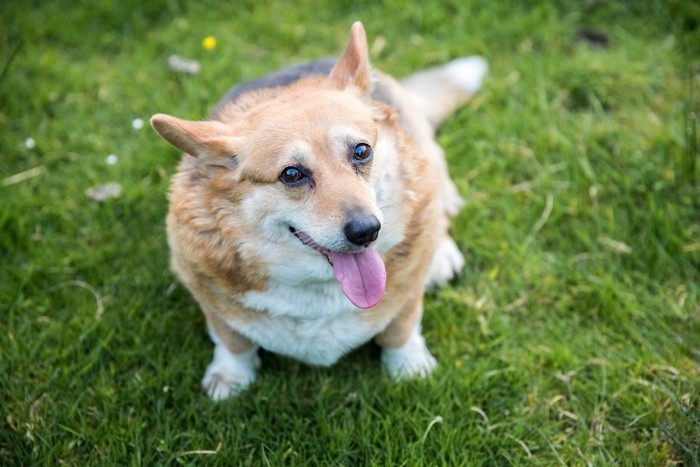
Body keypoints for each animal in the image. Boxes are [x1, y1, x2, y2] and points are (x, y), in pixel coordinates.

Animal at [150, 22, 484, 400]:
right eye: (291, 174)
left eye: (361, 151)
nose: (367, 231)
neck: (320, 287)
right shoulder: (205, 292)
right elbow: (232, 340)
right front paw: (230, 377)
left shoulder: (407, 295)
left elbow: (401, 326)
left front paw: (409, 367)